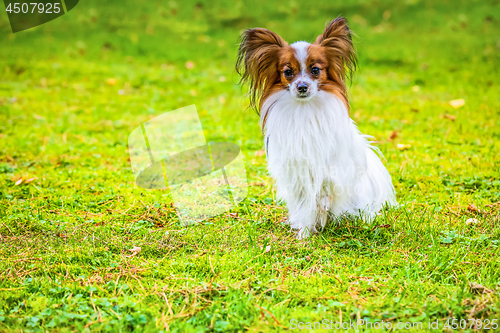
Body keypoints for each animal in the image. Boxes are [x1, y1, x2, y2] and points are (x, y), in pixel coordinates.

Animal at [236, 18, 396, 237]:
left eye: (315, 70)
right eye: (288, 72)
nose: (302, 87)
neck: (305, 110)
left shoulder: (330, 168)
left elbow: (324, 192)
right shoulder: (297, 172)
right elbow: (305, 204)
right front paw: (304, 233)